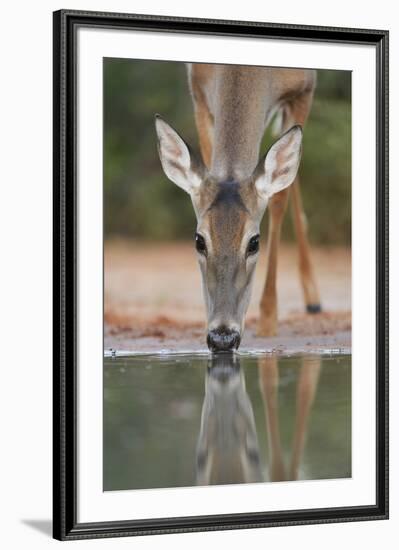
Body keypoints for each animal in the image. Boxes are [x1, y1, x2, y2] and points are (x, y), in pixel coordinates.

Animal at [155, 62, 320, 352]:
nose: (222, 337)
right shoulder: (198, 91)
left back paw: (313, 298)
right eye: (199, 240)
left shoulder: (303, 90)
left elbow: (279, 199)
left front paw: (268, 319)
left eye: (254, 242)